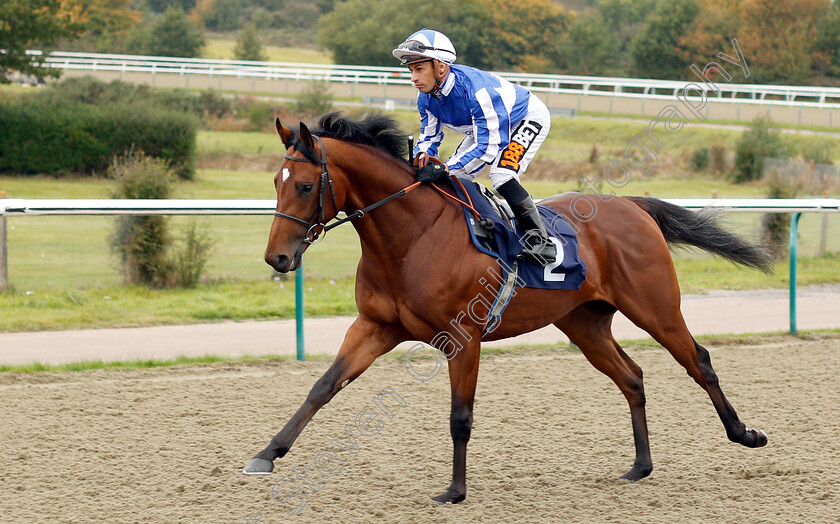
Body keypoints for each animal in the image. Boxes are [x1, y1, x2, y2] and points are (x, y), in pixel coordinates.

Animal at [241, 113, 768, 504]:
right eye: (275, 181)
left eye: (304, 186)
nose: (277, 258)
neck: (411, 237)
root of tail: (632, 206)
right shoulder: (375, 326)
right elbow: (322, 387)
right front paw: (266, 453)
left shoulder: (462, 339)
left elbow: (460, 416)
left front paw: (454, 490)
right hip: (585, 324)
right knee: (632, 377)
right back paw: (640, 465)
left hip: (656, 307)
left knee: (699, 361)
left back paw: (745, 434)